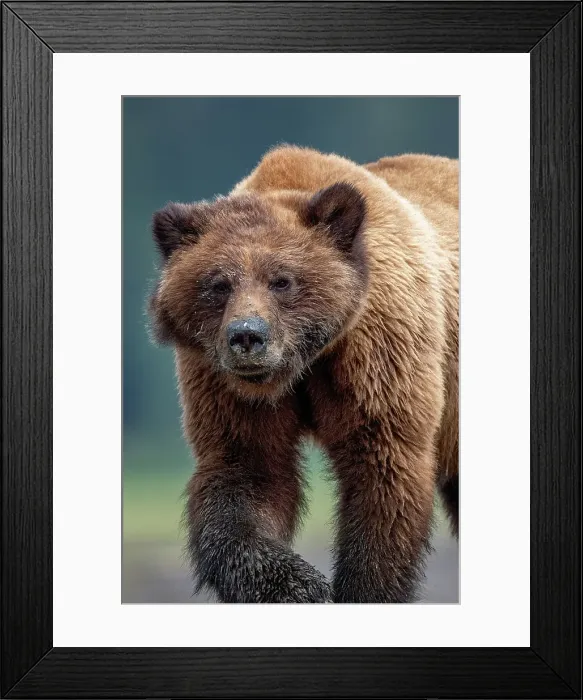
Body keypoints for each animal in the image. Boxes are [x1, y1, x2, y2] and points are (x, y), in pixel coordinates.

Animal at [149, 145, 459, 603]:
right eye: (218, 284)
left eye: (282, 280)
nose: (247, 335)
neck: (304, 363)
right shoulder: (225, 384)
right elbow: (248, 476)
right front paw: (302, 585)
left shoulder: (378, 353)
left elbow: (381, 472)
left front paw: (361, 588)